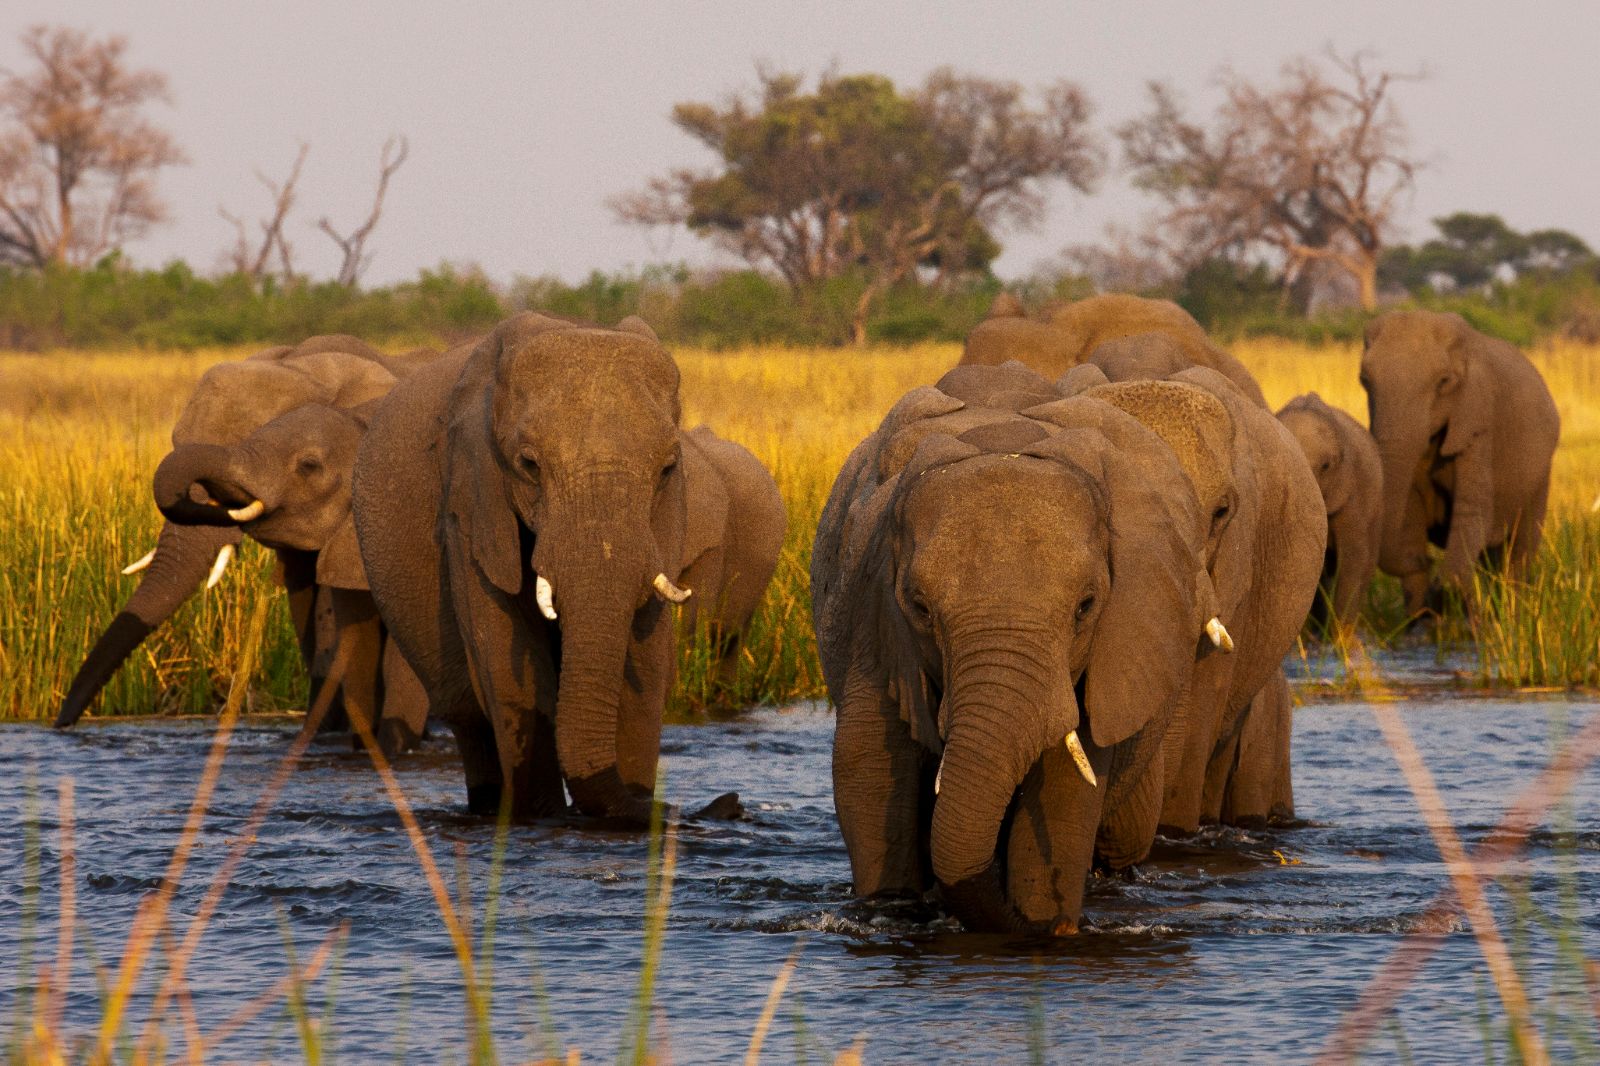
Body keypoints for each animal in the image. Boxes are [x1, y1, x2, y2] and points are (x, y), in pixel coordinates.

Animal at [352, 312, 776, 822]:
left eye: (668, 469)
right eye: (529, 465)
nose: (733, 802)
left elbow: (646, 661)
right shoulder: (470, 502)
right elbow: (507, 660)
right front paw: (544, 818)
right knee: (470, 722)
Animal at [813, 359, 1230, 933]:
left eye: (1086, 607)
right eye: (920, 608)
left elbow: (1065, 792)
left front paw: (1043, 928)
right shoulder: (873, 618)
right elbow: (867, 772)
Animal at [1360, 311, 1560, 619]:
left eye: (1444, 382)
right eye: (1365, 381)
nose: (1426, 559)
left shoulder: (1478, 422)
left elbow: (1472, 512)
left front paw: (1451, 603)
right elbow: (1411, 514)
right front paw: (1422, 618)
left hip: (1541, 475)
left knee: (1518, 552)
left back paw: (1512, 616)